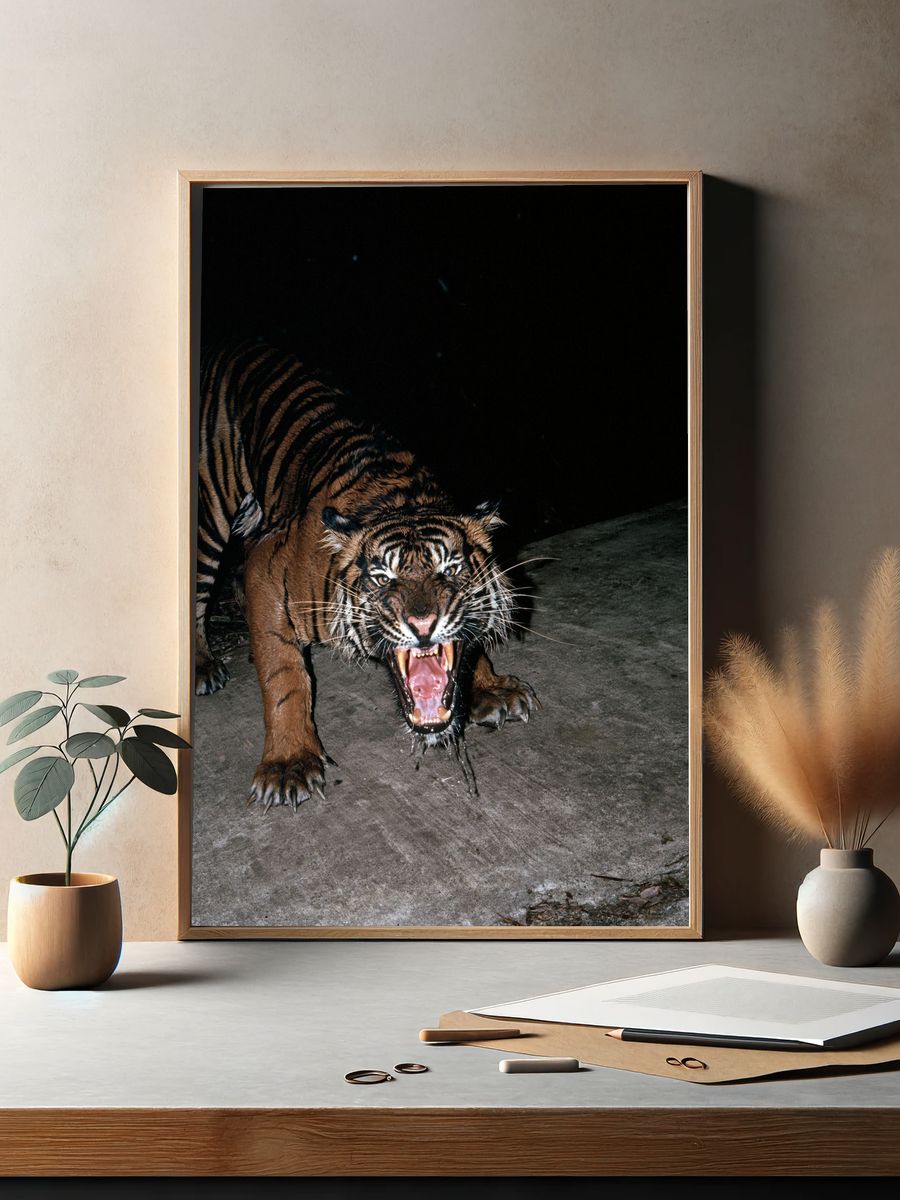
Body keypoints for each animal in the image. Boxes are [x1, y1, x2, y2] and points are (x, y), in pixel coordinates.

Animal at [196, 339, 536, 811]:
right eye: (381, 578)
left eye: (451, 569)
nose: (423, 625)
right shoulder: (269, 566)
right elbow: (284, 676)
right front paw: (289, 764)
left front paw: (490, 689)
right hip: (209, 513)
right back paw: (204, 666)